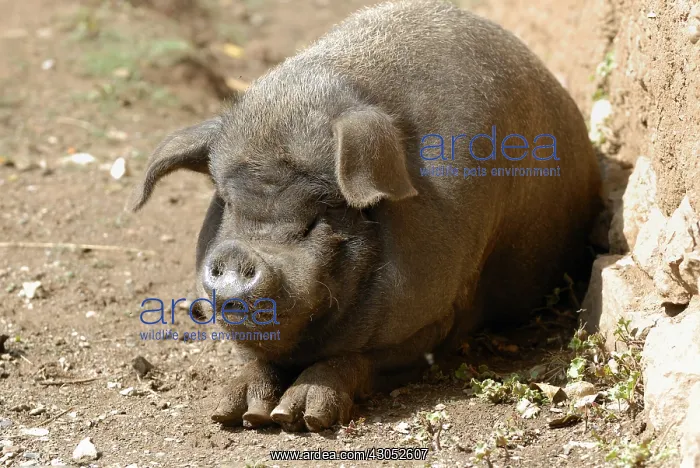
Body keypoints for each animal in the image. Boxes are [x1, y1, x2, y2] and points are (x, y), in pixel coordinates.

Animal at [128, 0, 602, 432]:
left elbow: (355, 359)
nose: (239, 255)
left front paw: (299, 418)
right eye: (227, 203)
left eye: (322, 210)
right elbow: (256, 362)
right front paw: (234, 414)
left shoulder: (436, 316)